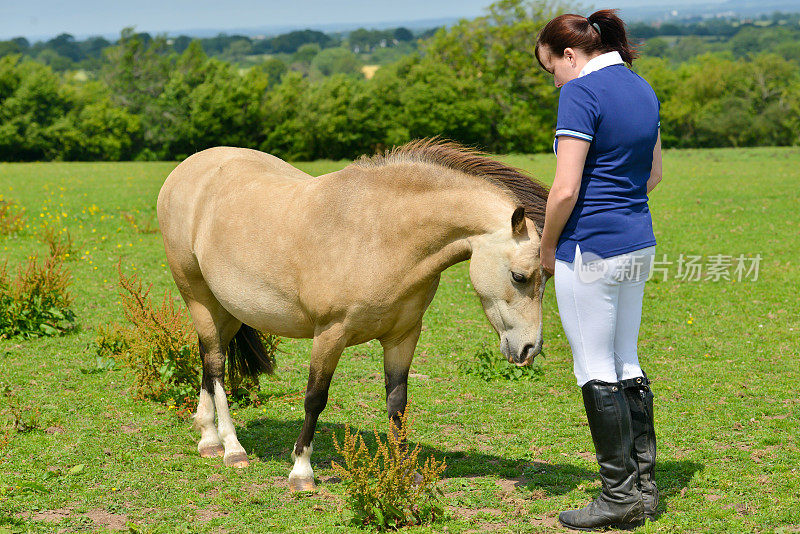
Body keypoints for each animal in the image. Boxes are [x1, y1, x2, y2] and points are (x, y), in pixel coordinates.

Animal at [159, 139, 552, 494]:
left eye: (547, 277)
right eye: (519, 277)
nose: (529, 349)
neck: (381, 234)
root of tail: (188, 167)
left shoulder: (403, 336)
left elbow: (397, 403)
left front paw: (403, 471)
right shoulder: (330, 333)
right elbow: (315, 398)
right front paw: (302, 471)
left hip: (225, 309)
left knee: (208, 360)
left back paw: (208, 437)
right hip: (198, 297)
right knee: (215, 366)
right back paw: (231, 448)